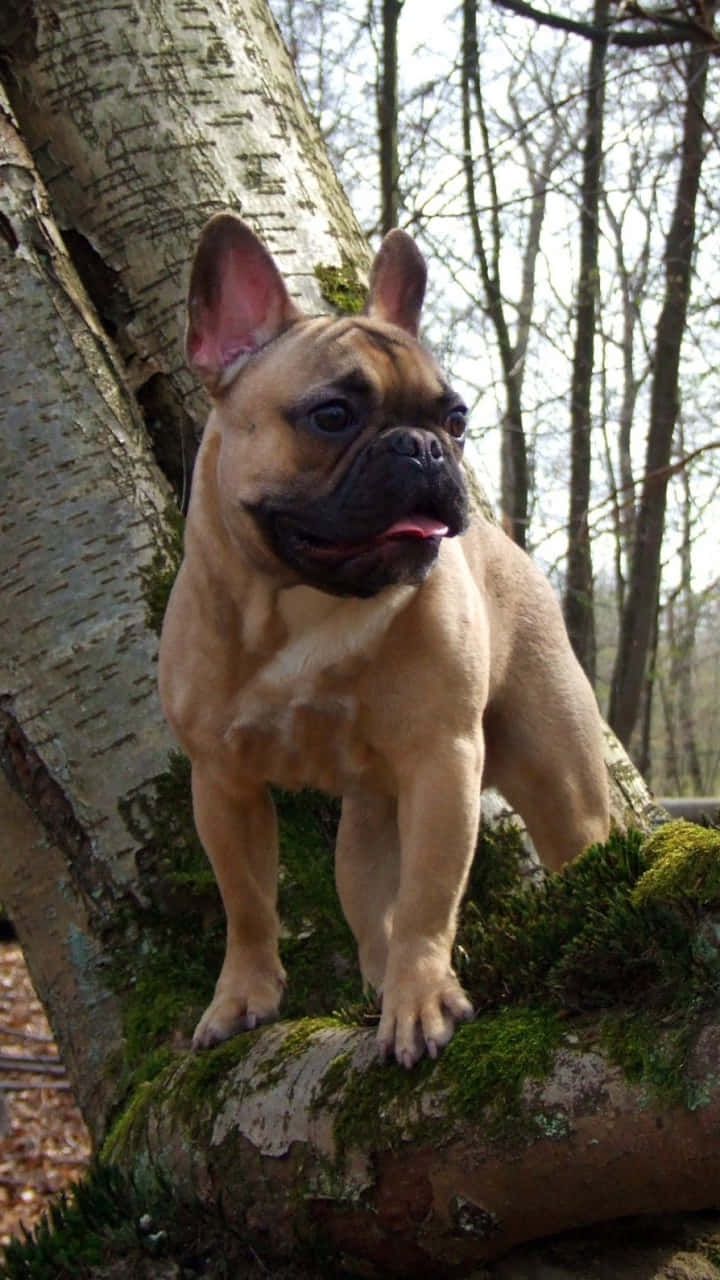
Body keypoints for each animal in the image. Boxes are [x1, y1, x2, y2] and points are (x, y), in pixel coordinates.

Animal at [156, 217, 604, 1070]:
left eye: (455, 418)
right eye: (332, 415)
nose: (425, 447)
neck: (307, 603)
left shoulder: (442, 760)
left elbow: (430, 896)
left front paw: (421, 1002)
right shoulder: (222, 782)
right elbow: (247, 901)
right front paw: (241, 998)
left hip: (556, 774)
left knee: (573, 841)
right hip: (368, 823)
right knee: (371, 910)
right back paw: (375, 981)